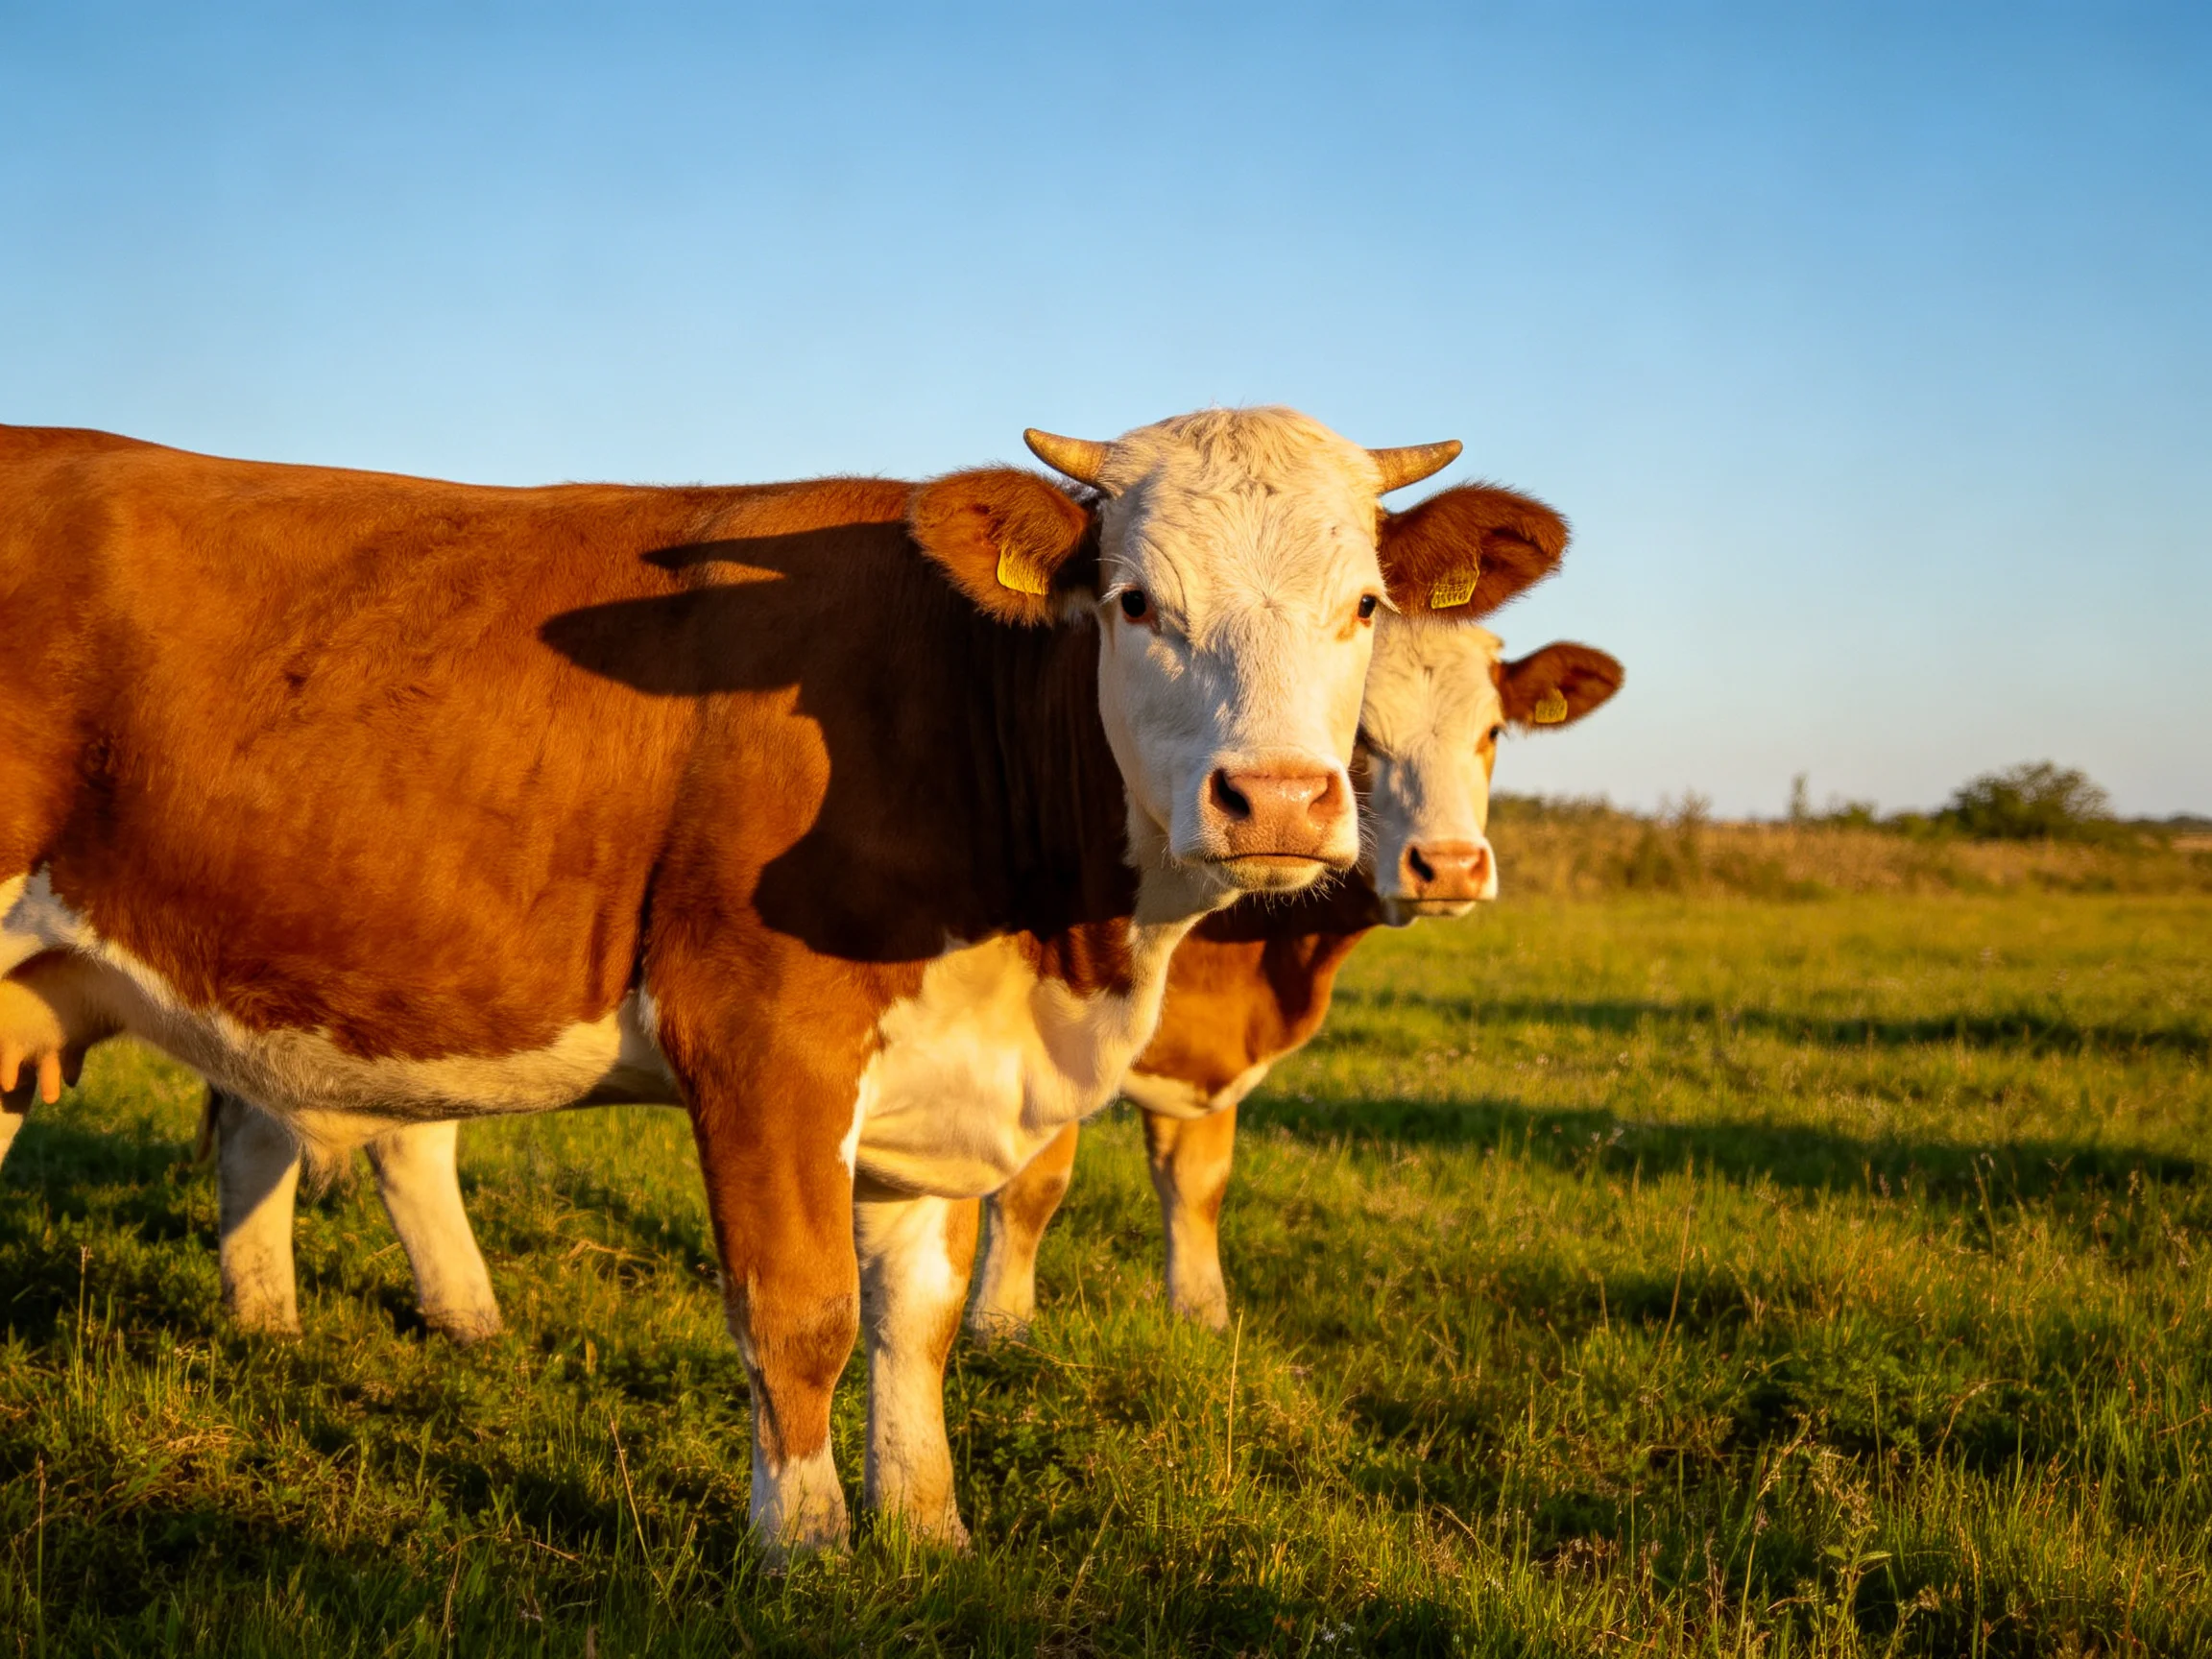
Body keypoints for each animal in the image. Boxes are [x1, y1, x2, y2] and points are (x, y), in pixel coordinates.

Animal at [967, 625, 1624, 1334]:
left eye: (1494, 730)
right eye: (1361, 734)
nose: (1449, 866)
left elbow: (1199, 1181)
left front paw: (1203, 1315)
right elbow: (1032, 1184)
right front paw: (998, 1324)